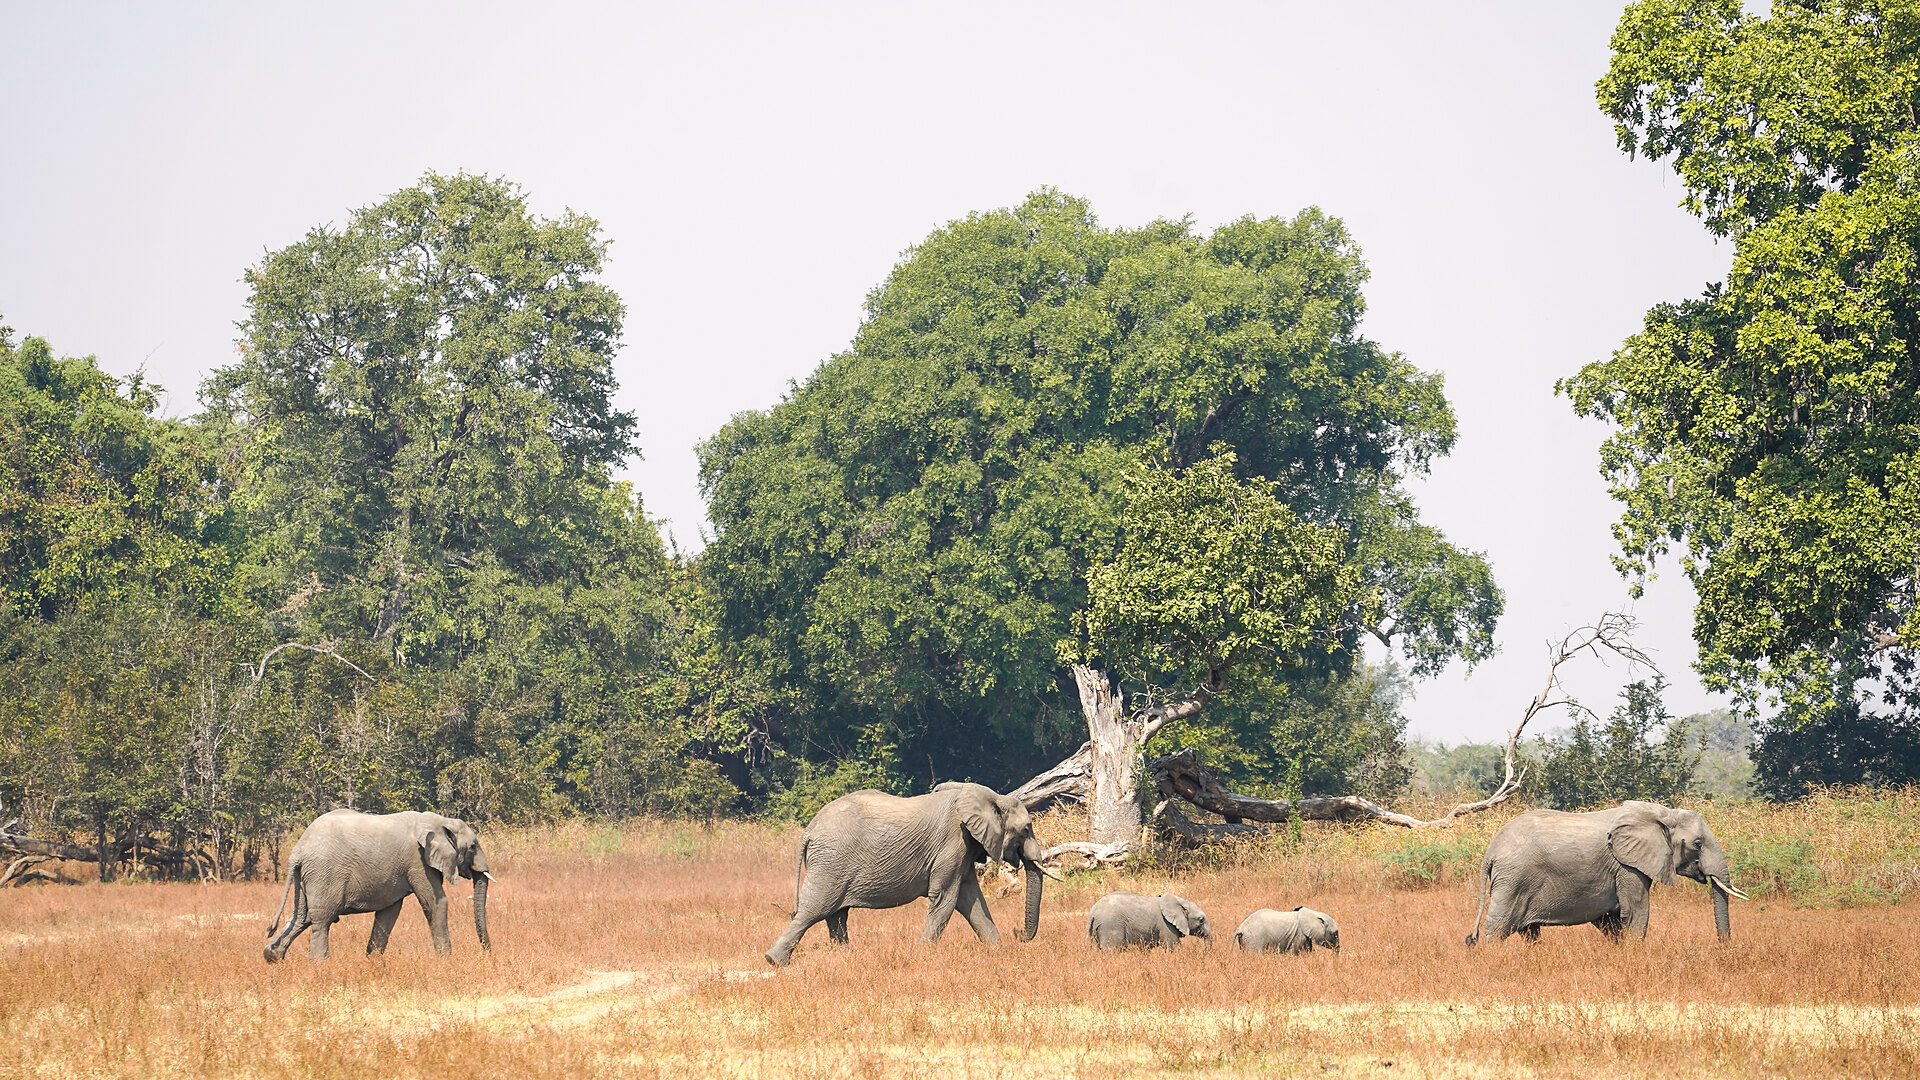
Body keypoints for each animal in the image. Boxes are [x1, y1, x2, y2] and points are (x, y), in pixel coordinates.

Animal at [264, 809, 491, 962]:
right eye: (473, 846)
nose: (488, 953)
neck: (439, 820)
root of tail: (298, 850)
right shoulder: (417, 861)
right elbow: (436, 902)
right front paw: (446, 960)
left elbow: (389, 912)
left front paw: (372, 960)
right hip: (324, 872)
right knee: (321, 919)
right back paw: (320, 963)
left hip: (307, 875)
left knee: (302, 916)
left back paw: (272, 955)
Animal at [764, 781, 1047, 966]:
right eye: (1026, 829)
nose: (1017, 933)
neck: (992, 797)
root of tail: (809, 830)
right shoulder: (952, 842)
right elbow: (946, 899)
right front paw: (924, 956)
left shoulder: (963, 849)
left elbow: (971, 900)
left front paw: (997, 950)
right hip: (831, 863)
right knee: (815, 911)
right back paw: (775, 962)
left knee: (836, 915)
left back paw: (844, 957)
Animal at [1464, 799, 1748, 946]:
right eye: (1698, 844)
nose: (1724, 949)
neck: (1662, 813)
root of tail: (1491, 850)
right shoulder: (1626, 865)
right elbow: (1635, 911)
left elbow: (1612, 919)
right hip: (1513, 879)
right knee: (1499, 925)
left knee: (1529, 931)